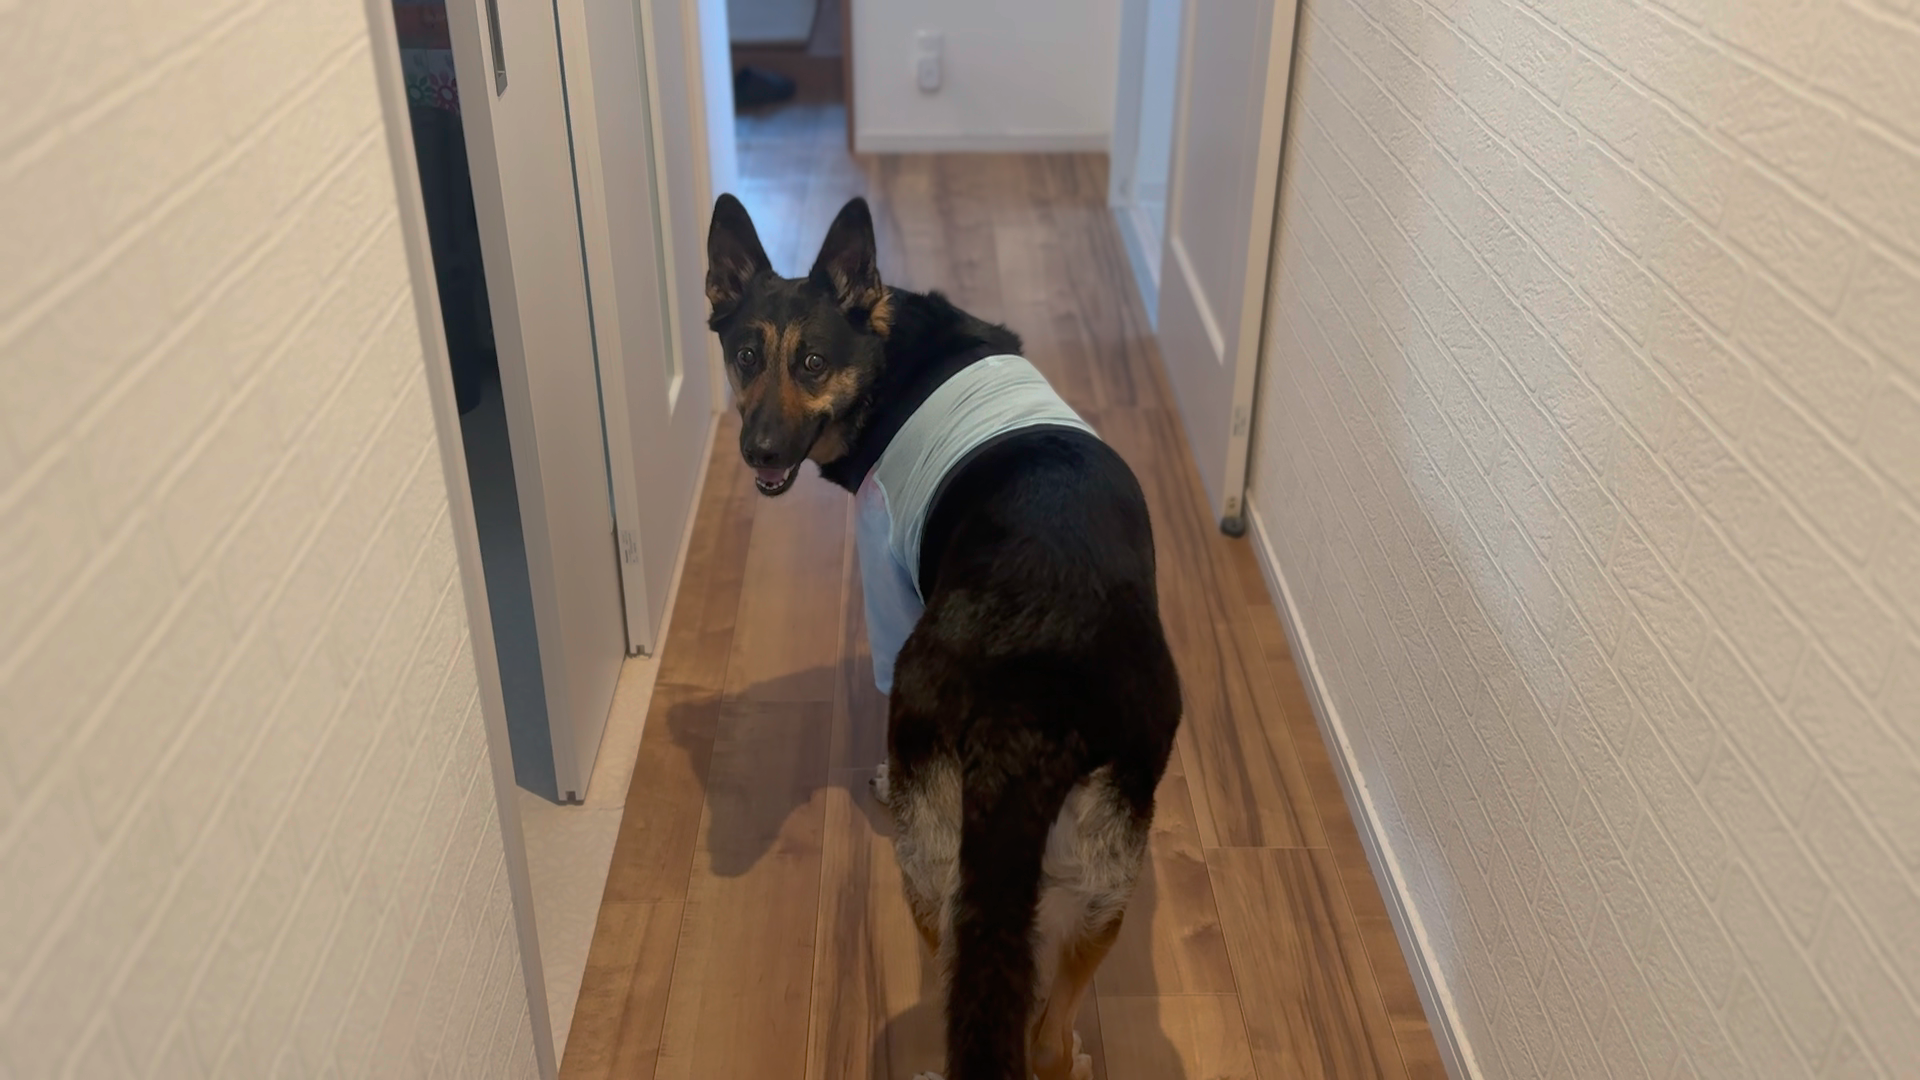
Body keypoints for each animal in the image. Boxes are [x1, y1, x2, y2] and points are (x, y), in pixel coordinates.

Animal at [705, 193, 1182, 1080]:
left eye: (812, 363)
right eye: (747, 356)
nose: (759, 453)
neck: (887, 348)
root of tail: (1032, 705)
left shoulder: (887, 585)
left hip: (936, 868)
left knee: (963, 968)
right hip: (1108, 879)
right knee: (1046, 1033)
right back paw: (1064, 1052)